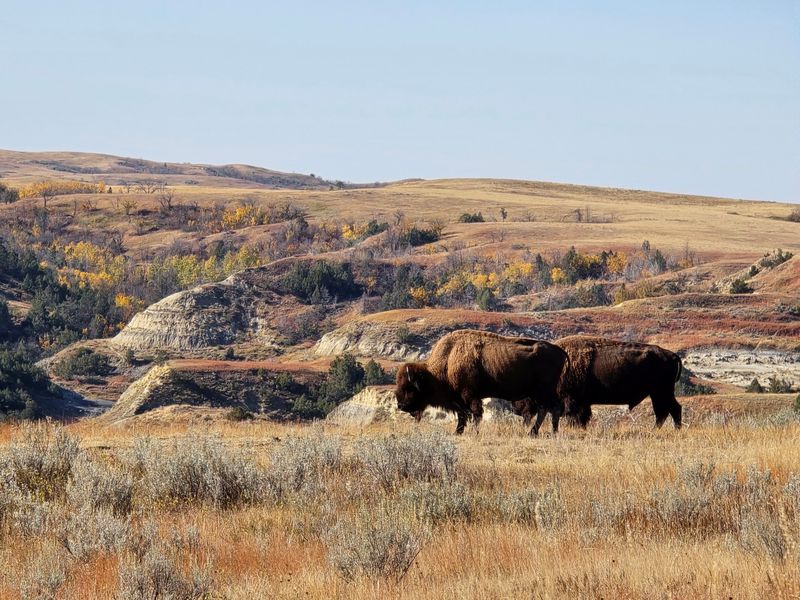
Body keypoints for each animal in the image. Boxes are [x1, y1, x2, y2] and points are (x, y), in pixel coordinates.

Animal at [395, 329, 568, 435]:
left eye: (409, 388)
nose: (401, 406)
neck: (448, 359)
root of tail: (561, 352)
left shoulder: (469, 395)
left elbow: (475, 413)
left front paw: (473, 432)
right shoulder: (460, 399)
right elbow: (463, 415)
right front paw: (458, 432)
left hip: (543, 391)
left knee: (549, 409)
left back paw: (539, 432)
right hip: (540, 393)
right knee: (548, 410)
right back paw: (544, 432)